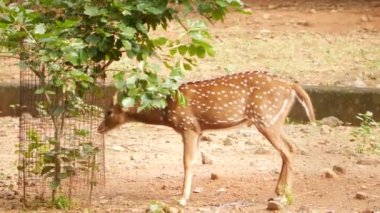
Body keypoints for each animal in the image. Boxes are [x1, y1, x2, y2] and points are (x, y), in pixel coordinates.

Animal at [97, 70, 314, 207]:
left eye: (109, 111)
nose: (99, 128)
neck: (166, 112)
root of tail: (292, 86)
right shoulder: (199, 131)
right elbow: (195, 161)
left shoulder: (189, 127)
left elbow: (187, 162)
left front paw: (182, 199)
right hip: (276, 121)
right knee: (291, 148)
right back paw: (278, 192)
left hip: (266, 119)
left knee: (287, 152)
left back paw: (285, 197)